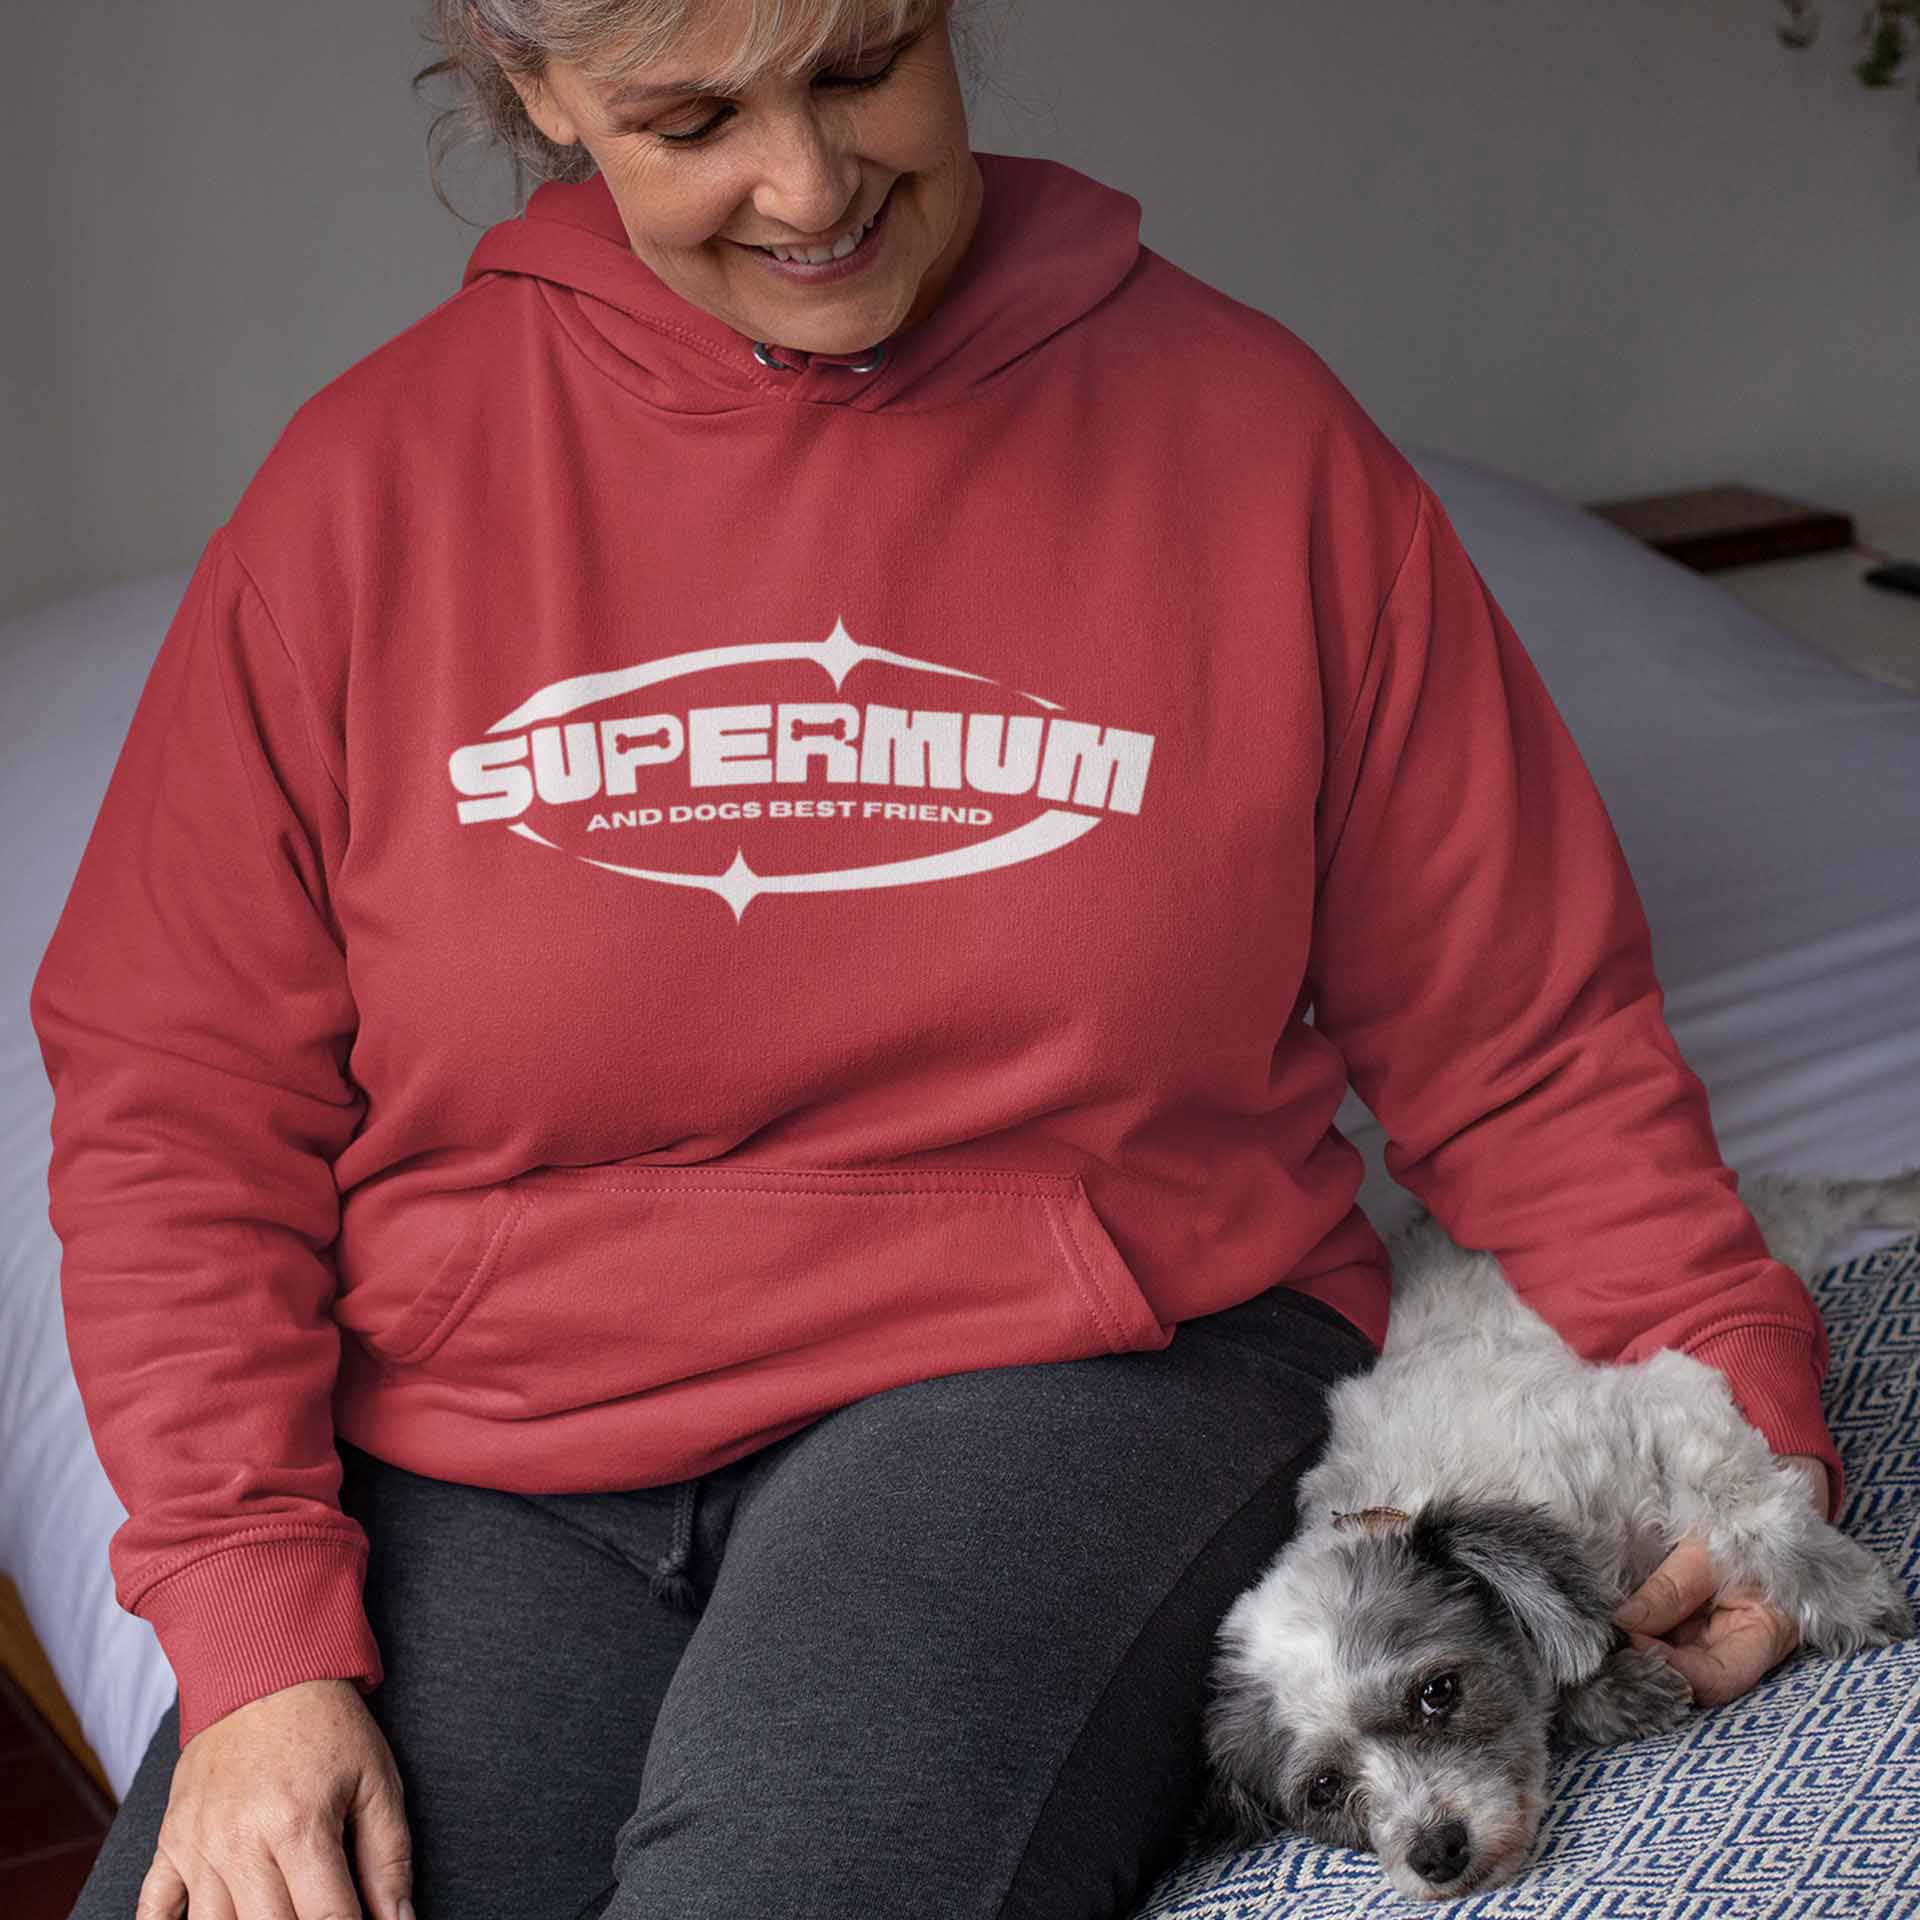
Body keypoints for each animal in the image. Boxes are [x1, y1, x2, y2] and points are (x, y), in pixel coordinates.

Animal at [1190, 1159, 1912, 1896]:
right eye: (1325, 1789)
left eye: (1437, 1691)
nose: (1436, 1853)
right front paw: (1614, 1693)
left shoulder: (1659, 1409)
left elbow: (1753, 1509)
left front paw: (1845, 1594)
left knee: (1828, 1201)